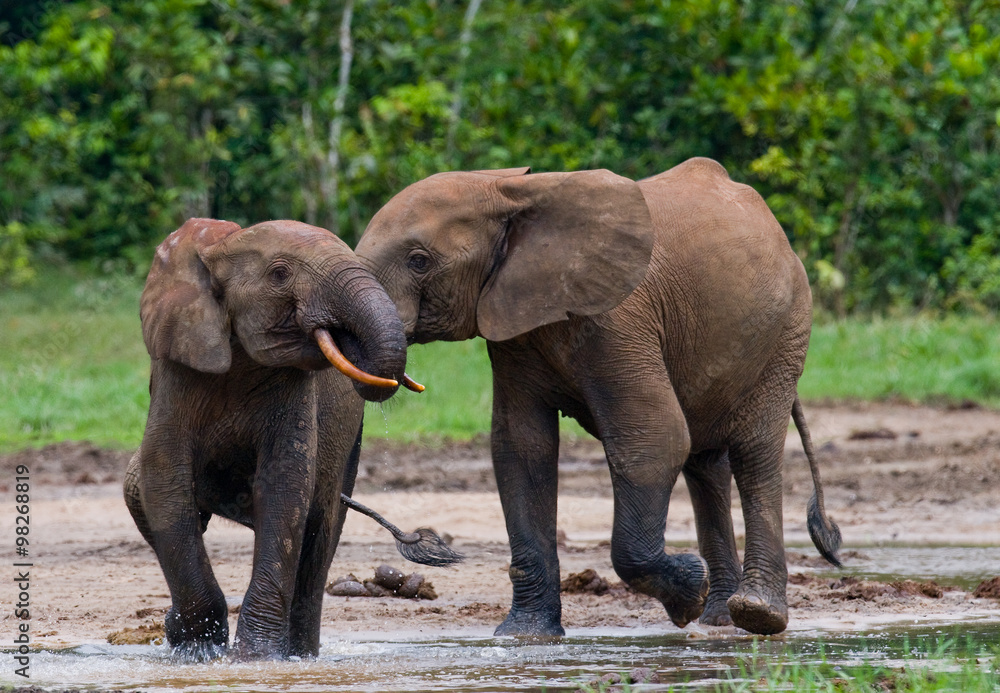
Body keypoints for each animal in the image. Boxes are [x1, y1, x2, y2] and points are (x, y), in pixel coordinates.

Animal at [124, 217, 451, 661]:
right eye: (279, 274)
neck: (224, 244)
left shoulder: (294, 388)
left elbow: (285, 486)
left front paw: (255, 659)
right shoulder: (175, 371)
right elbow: (164, 482)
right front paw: (200, 653)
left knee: (320, 534)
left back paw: (300, 655)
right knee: (136, 487)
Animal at [355, 157, 841, 637]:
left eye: (419, 261)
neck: (510, 193)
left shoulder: (618, 319)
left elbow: (652, 440)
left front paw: (688, 590)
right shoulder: (513, 329)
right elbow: (521, 448)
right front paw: (524, 636)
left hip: (786, 332)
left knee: (754, 453)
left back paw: (756, 614)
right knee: (707, 464)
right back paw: (718, 617)